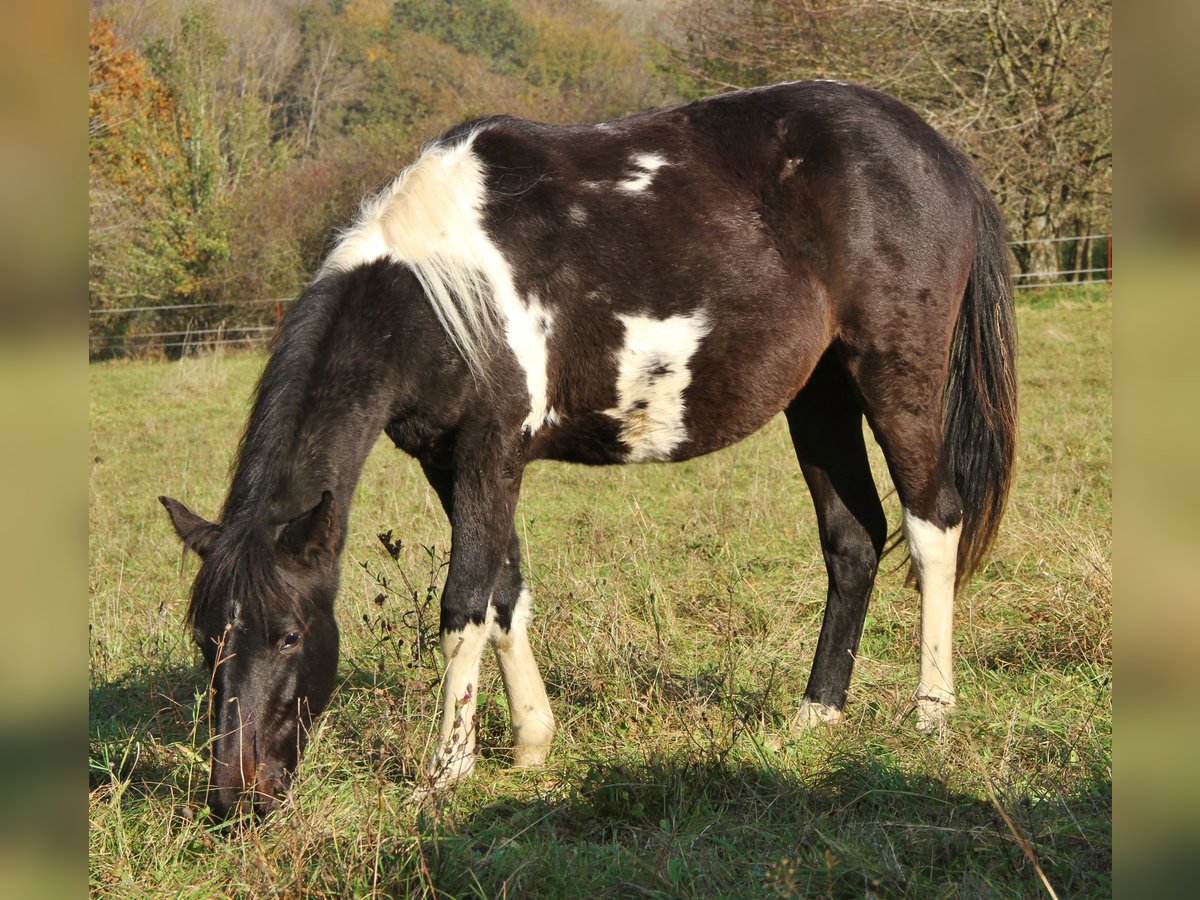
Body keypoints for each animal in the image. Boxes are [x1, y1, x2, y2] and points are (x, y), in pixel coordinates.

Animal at [164, 81, 1017, 820]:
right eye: (206, 641)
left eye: (290, 635)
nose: (235, 801)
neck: (436, 290)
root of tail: (936, 150)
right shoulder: (448, 460)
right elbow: (506, 594)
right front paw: (532, 744)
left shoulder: (490, 452)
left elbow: (465, 603)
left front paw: (446, 774)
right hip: (821, 396)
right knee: (853, 542)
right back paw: (814, 718)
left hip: (895, 373)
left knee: (932, 525)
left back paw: (930, 715)